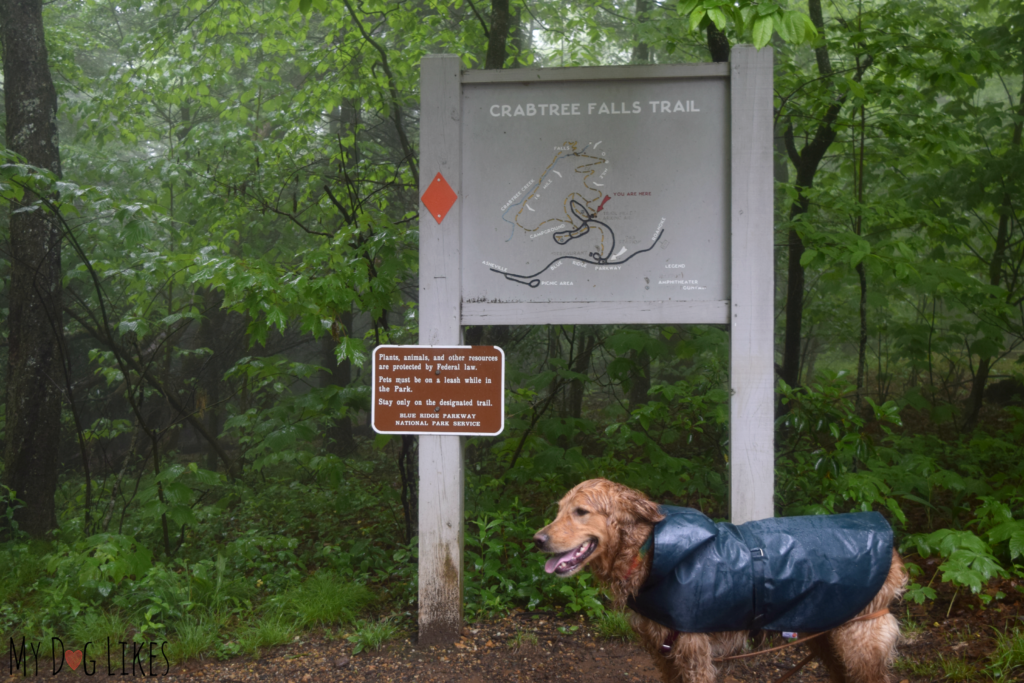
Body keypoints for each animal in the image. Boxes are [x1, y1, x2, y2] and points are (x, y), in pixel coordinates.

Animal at [532, 481, 909, 683]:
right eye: (560, 509)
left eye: (581, 511)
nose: (537, 540)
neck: (650, 552)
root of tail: (892, 550)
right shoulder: (662, 652)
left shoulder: (694, 653)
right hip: (827, 638)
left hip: (860, 643)